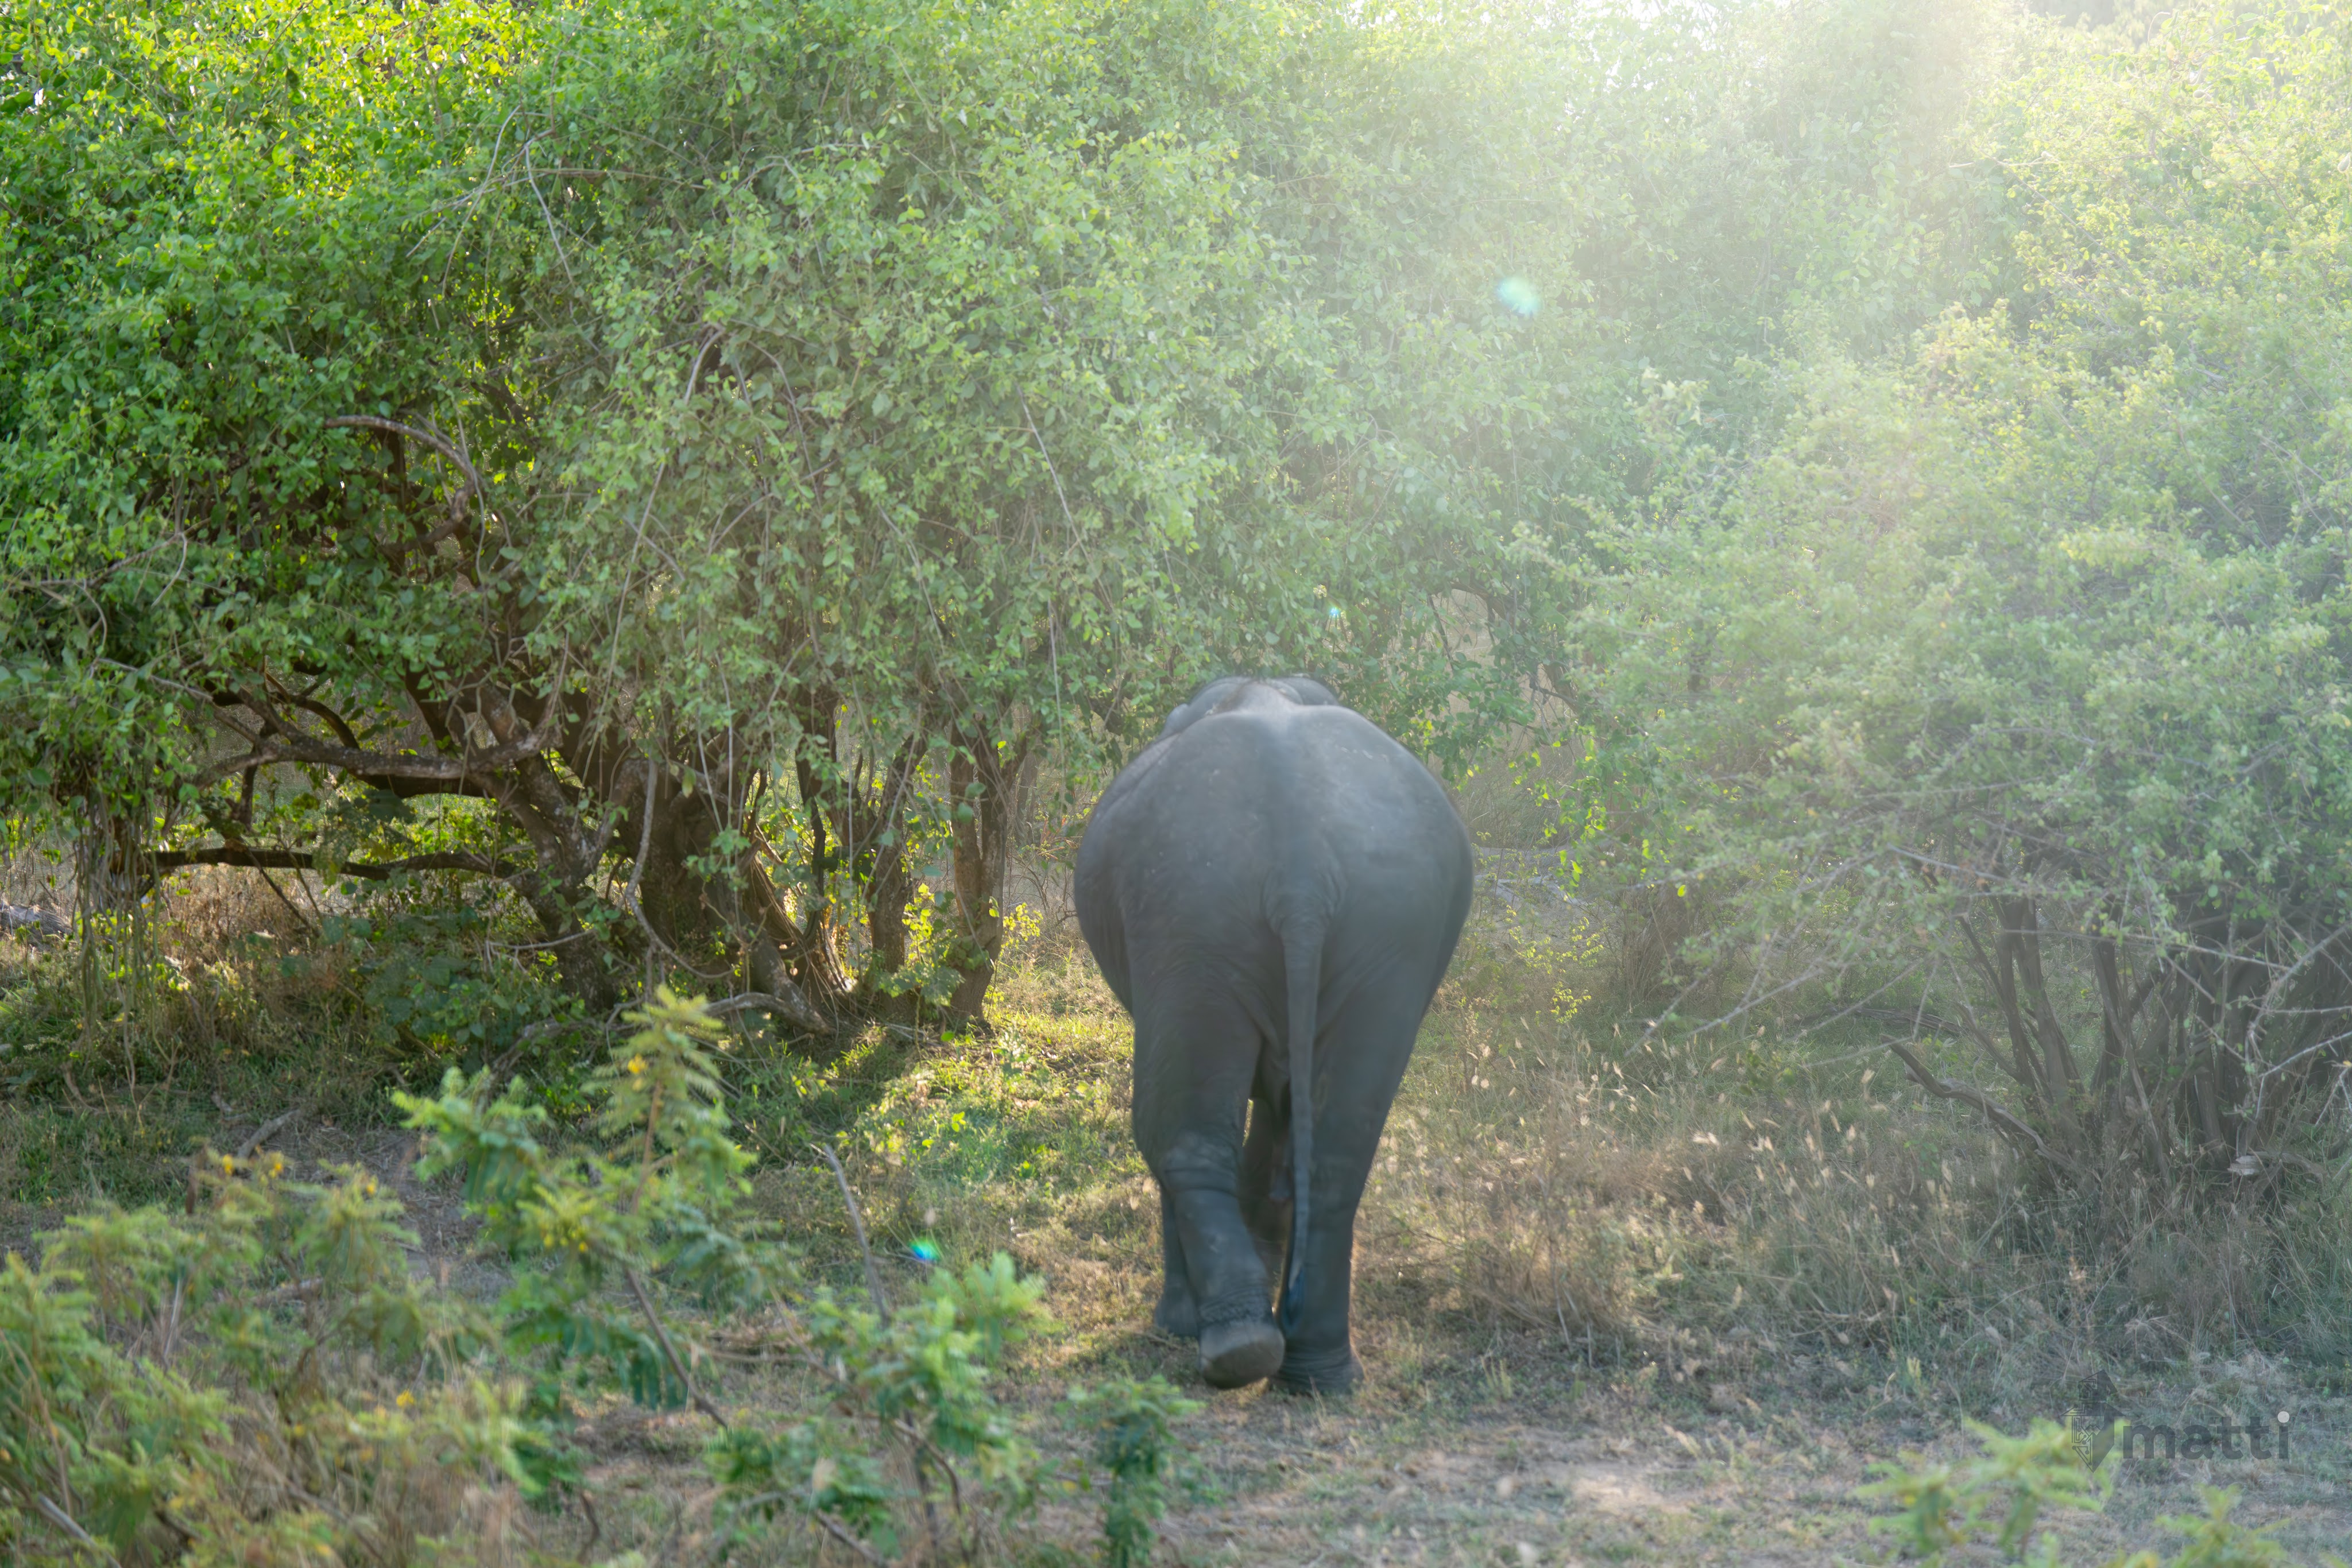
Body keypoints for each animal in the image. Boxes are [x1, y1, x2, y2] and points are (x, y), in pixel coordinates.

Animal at [1075, 676, 1473, 1392]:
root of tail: (1302, 873)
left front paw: (1184, 1324)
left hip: (1191, 914)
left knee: (1176, 1133)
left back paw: (1236, 1347)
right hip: (1389, 928)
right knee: (1338, 1152)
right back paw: (1316, 1371)